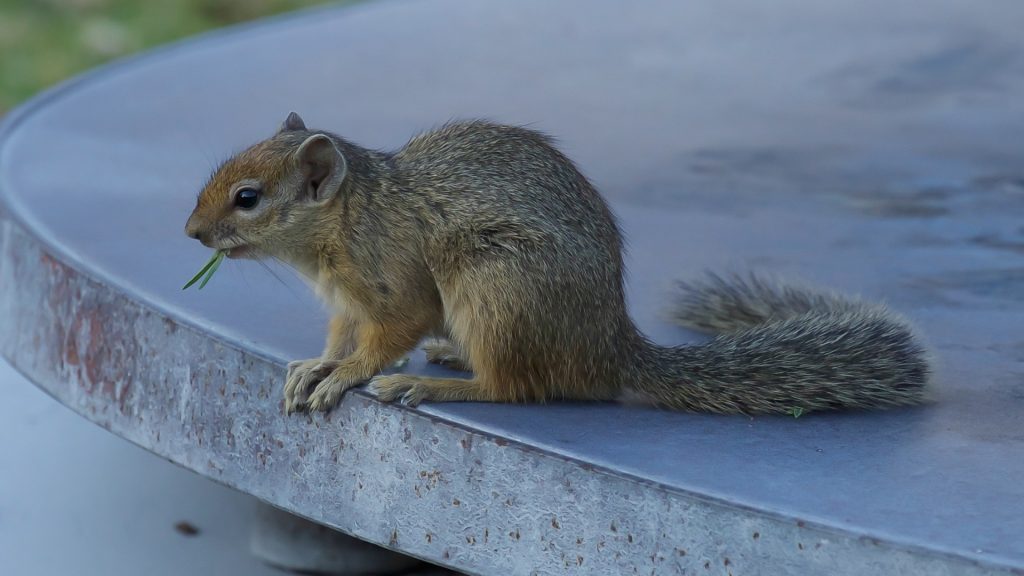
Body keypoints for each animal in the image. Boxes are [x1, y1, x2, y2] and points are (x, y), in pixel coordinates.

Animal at [182, 112, 929, 414]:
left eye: (248, 198)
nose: (190, 232)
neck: (347, 218)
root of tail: (609, 349)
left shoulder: (395, 288)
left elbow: (384, 339)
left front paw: (346, 377)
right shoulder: (345, 305)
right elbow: (339, 340)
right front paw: (314, 366)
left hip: (496, 288)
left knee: (517, 387)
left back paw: (436, 384)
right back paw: (448, 359)